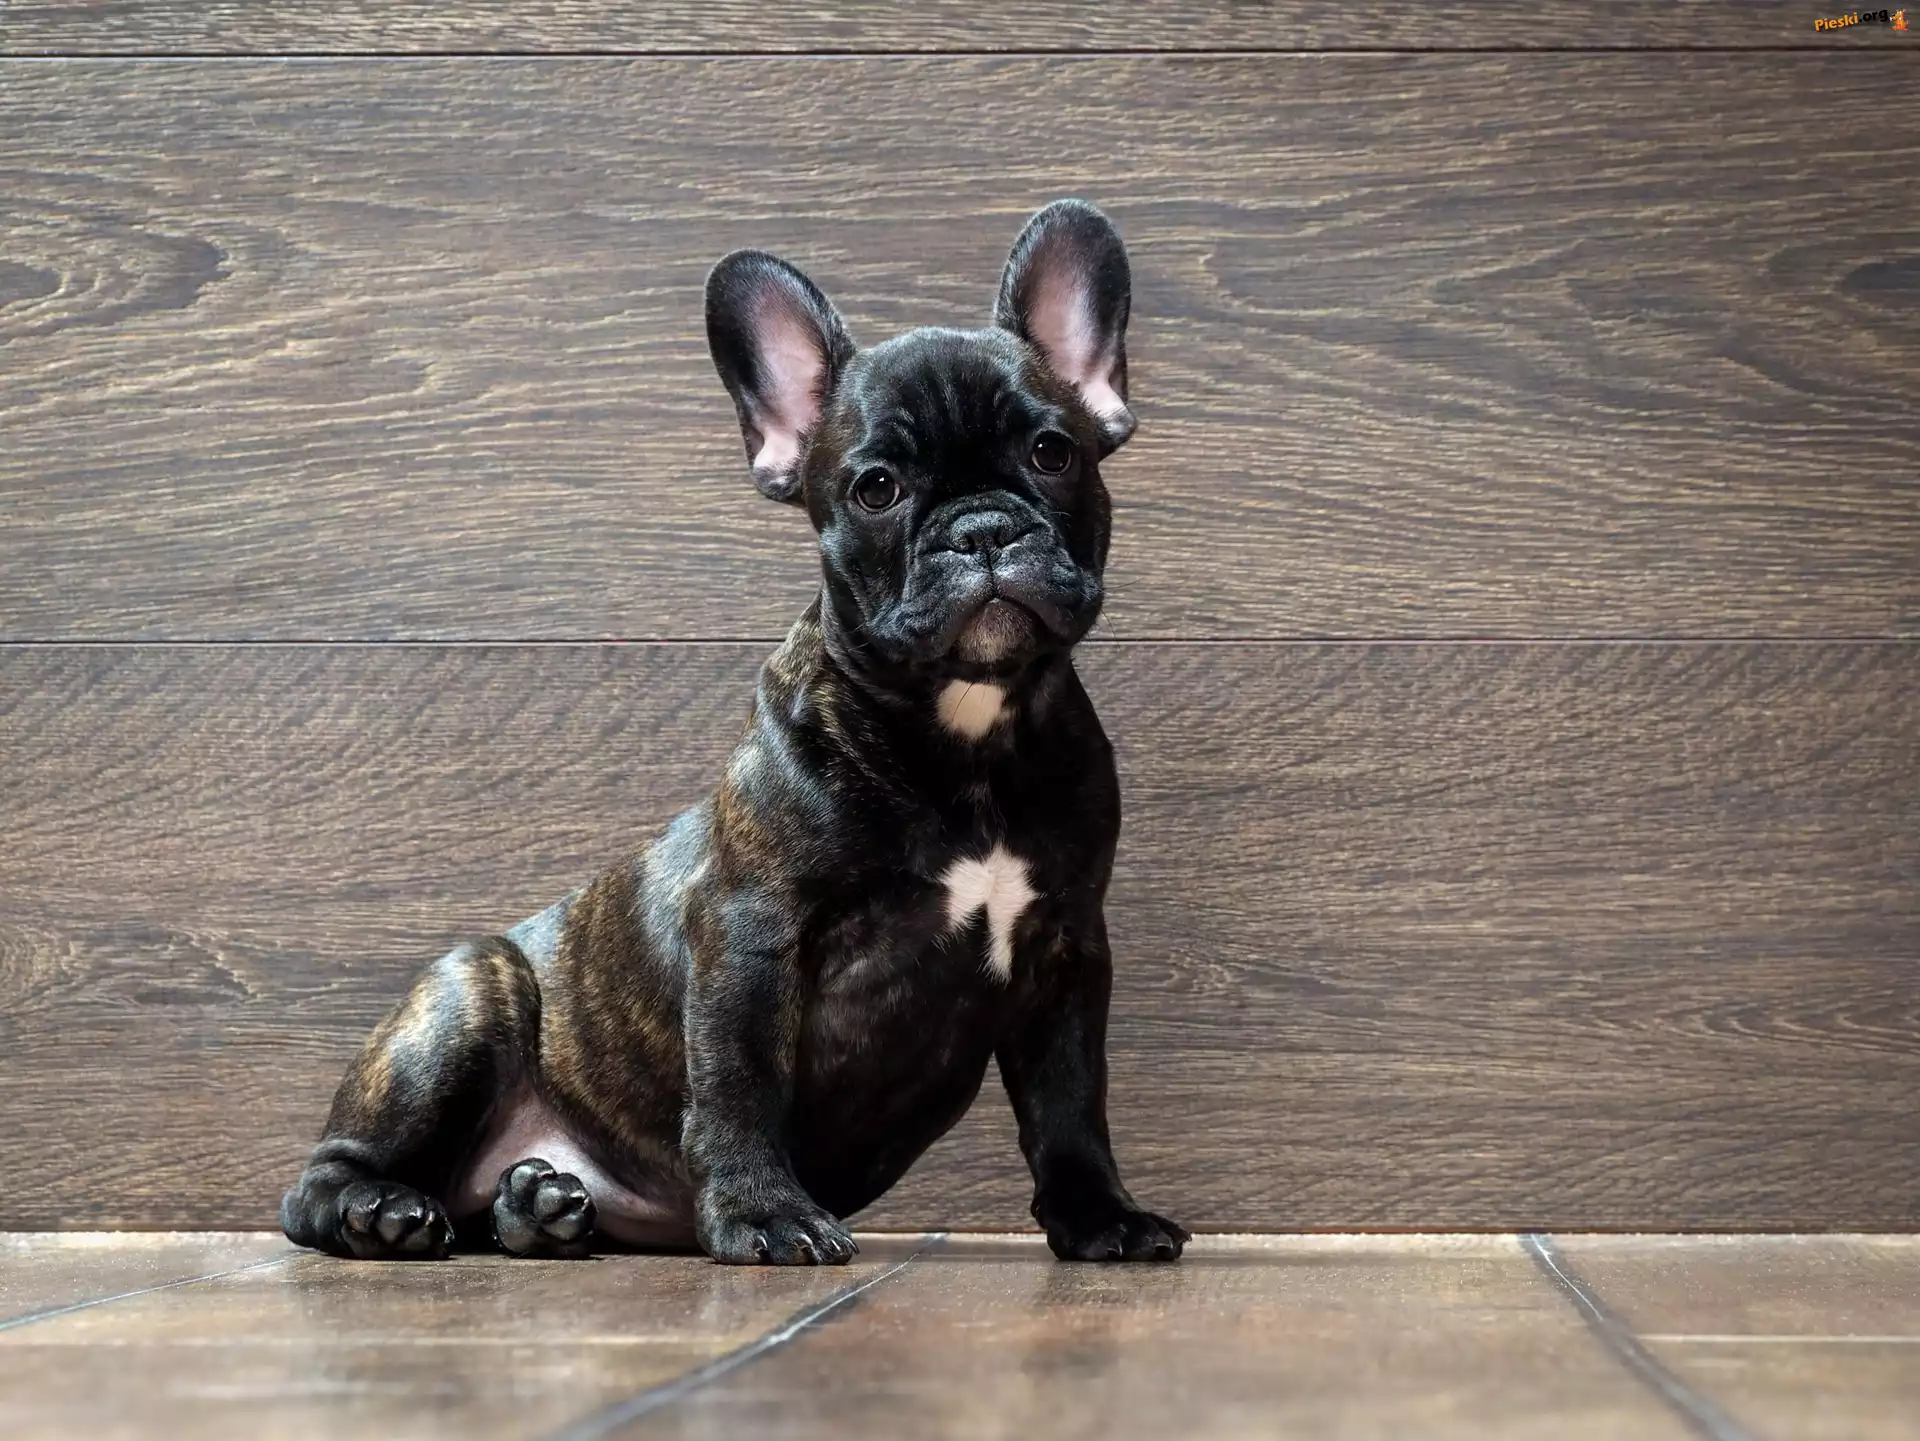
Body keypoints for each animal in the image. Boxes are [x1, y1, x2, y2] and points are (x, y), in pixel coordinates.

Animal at [280, 200, 1188, 1266]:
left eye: (1054, 453)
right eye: (876, 488)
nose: (983, 529)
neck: (968, 735)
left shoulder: (1066, 951)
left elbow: (1071, 1101)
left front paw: (1101, 1216)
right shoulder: (750, 933)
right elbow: (739, 1083)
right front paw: (764, 1212)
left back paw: (539, 1205)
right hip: (470, 993)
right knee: (317, 1184)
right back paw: (380, 1210)